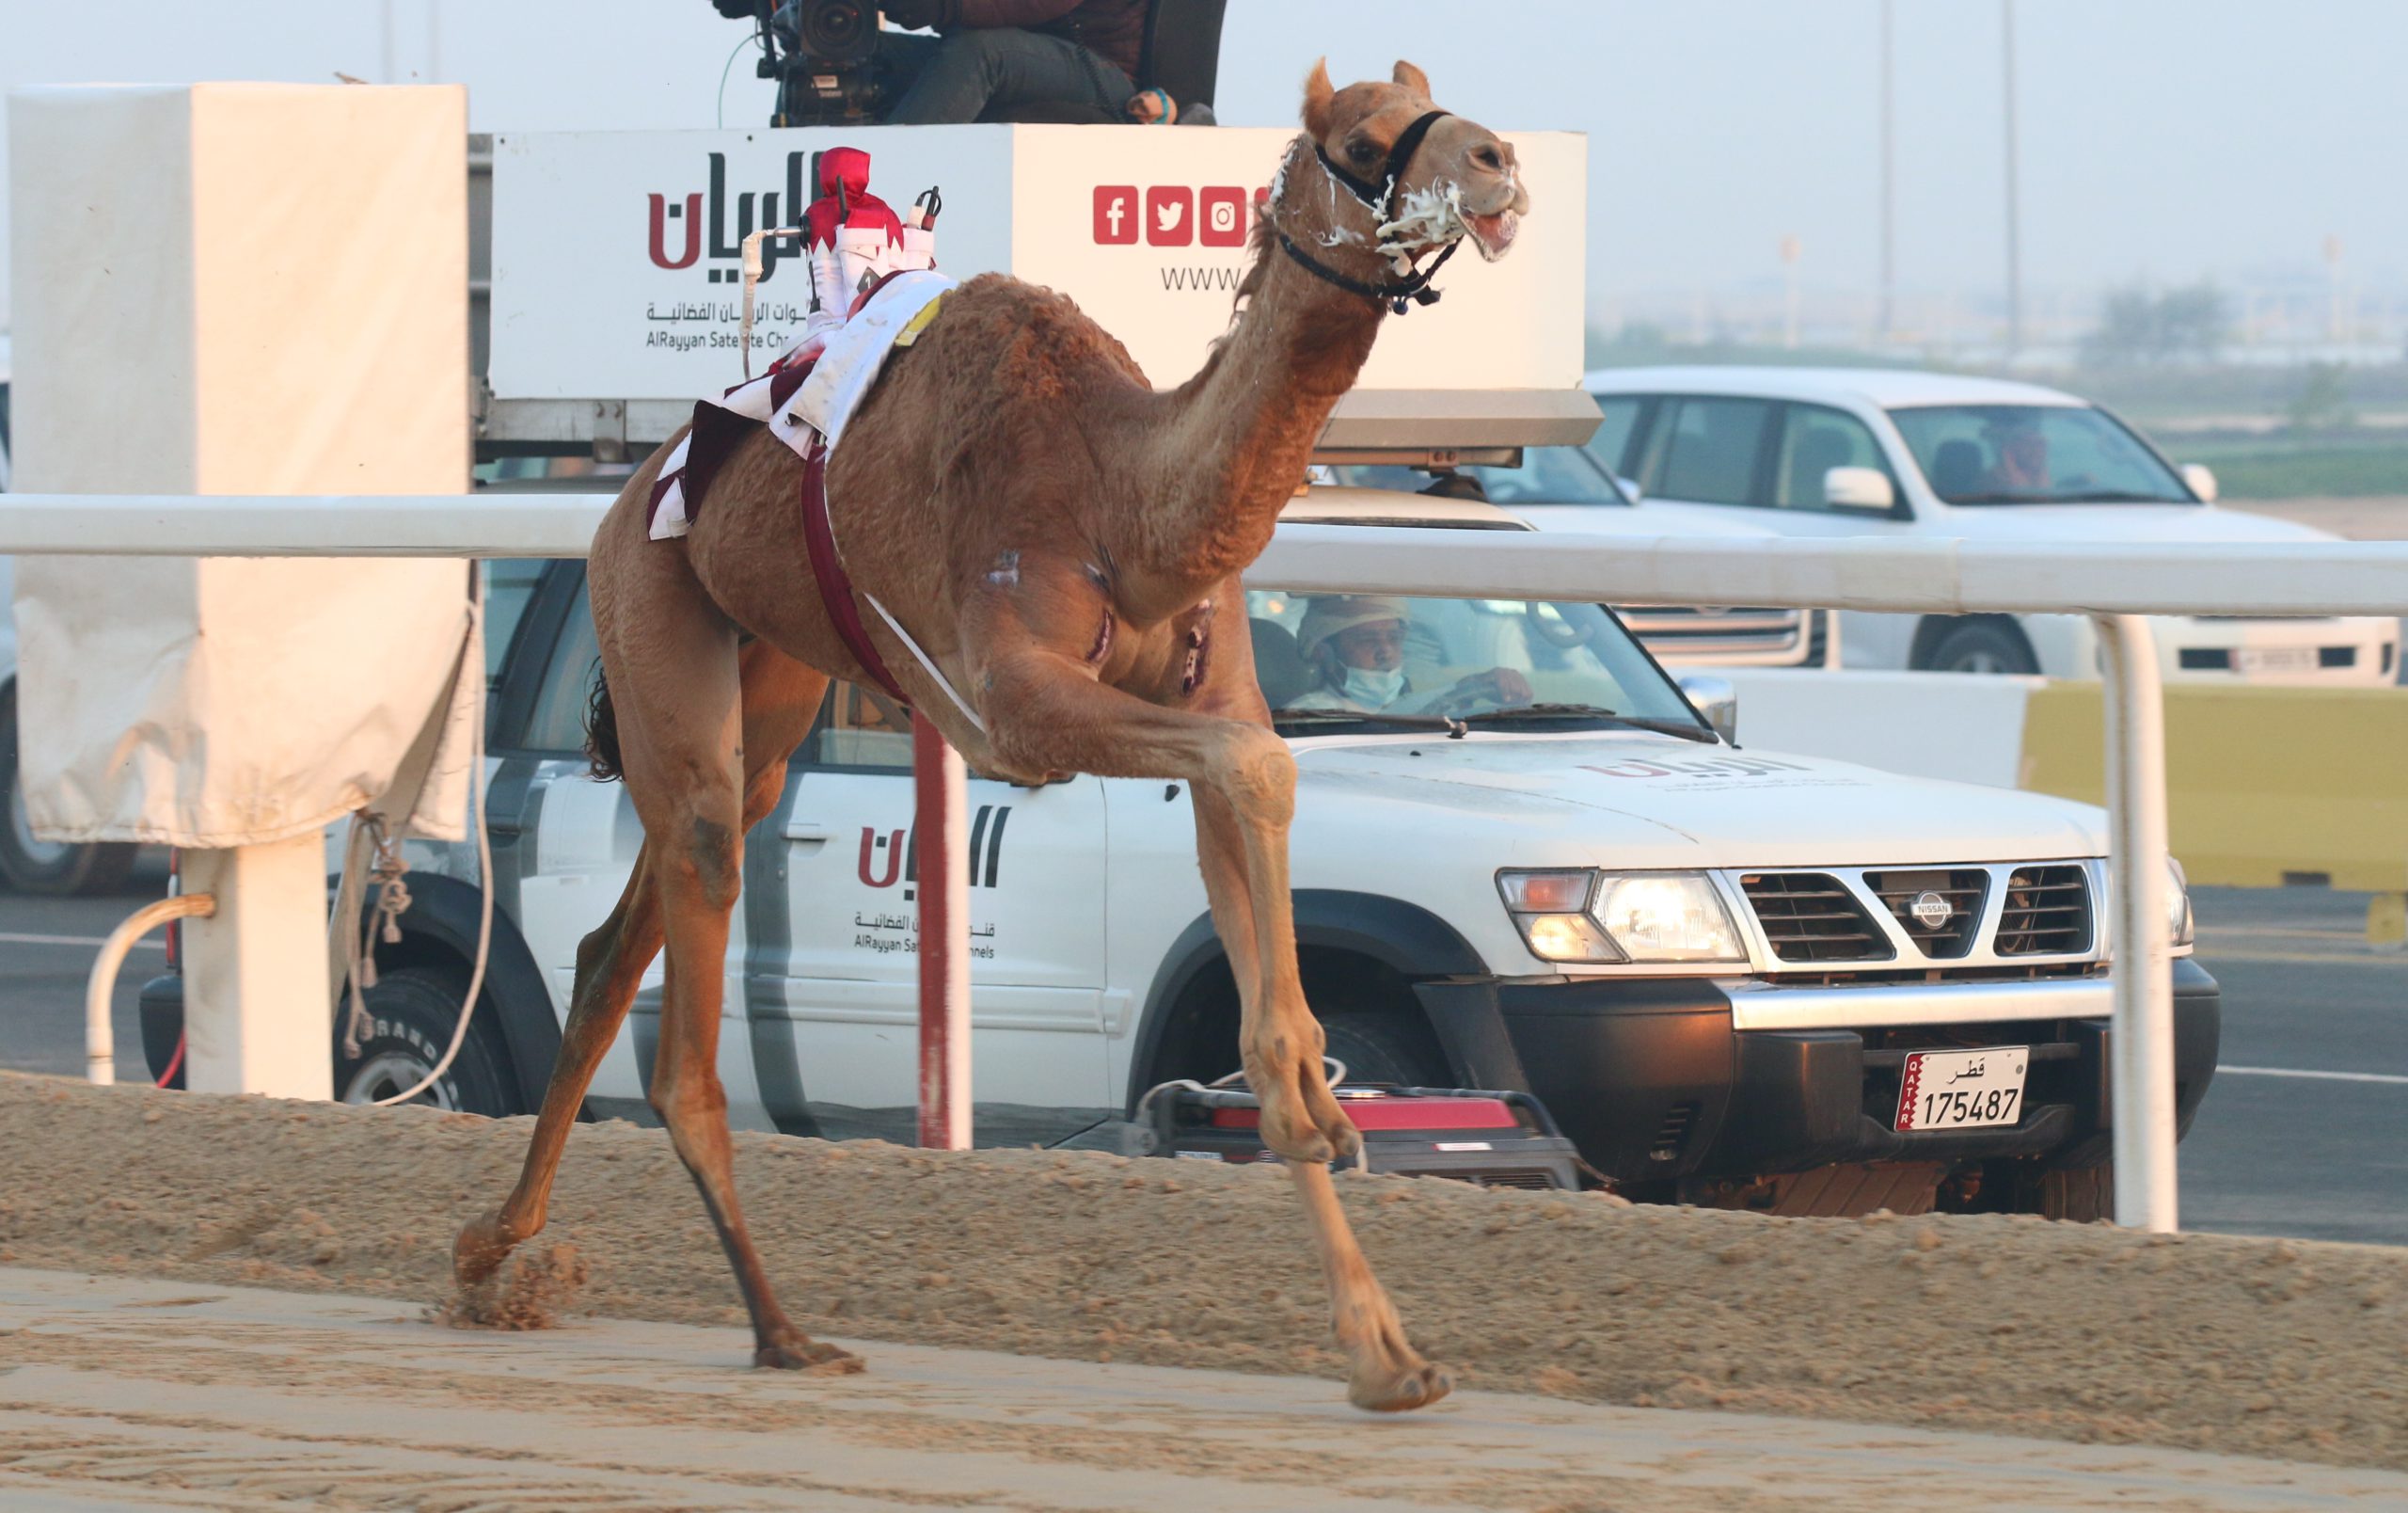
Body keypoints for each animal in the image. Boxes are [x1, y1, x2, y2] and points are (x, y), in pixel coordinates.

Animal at [454, 58, 1521, 1407]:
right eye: (1366, 141)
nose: (1498, 162)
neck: (1129, 504)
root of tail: (635, 487)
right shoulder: (1018, 706)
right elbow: (1267, 765)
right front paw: (1355, 1241)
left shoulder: (1206, 698)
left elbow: (1255, 841)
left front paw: (1384, 1346)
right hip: (653, 612)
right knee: (684, 1030)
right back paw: (780, 1331)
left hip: (772, 686)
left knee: (612, 948)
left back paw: (490, 1257)